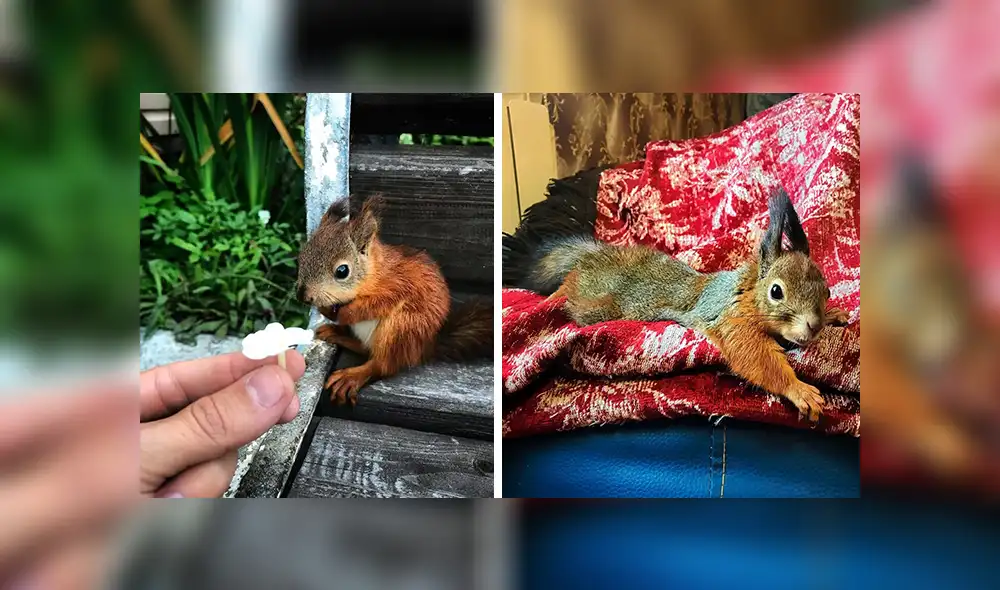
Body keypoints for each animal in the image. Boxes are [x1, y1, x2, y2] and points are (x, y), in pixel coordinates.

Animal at [296, 196, 493, 405]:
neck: (374, 274)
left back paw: (353, 376)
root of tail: (425, 348)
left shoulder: (398, 286)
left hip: (401, 328)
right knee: (366, 349)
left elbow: (376, 305)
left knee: (383, 365)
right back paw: (338, 334)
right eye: (302, 256)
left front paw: (345, 313)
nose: (303, 296)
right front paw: (326, 310)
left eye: (342, 271)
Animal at [521, 188, 849, 422]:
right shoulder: (731, 321)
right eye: (776, 291)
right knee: (570, 285)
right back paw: (552, 296)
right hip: (595, 300)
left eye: (827, 290)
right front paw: (799, 390)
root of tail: (595, 256)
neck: (746, 292)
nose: (814, 325)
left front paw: (834, 315)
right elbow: (755, 357)